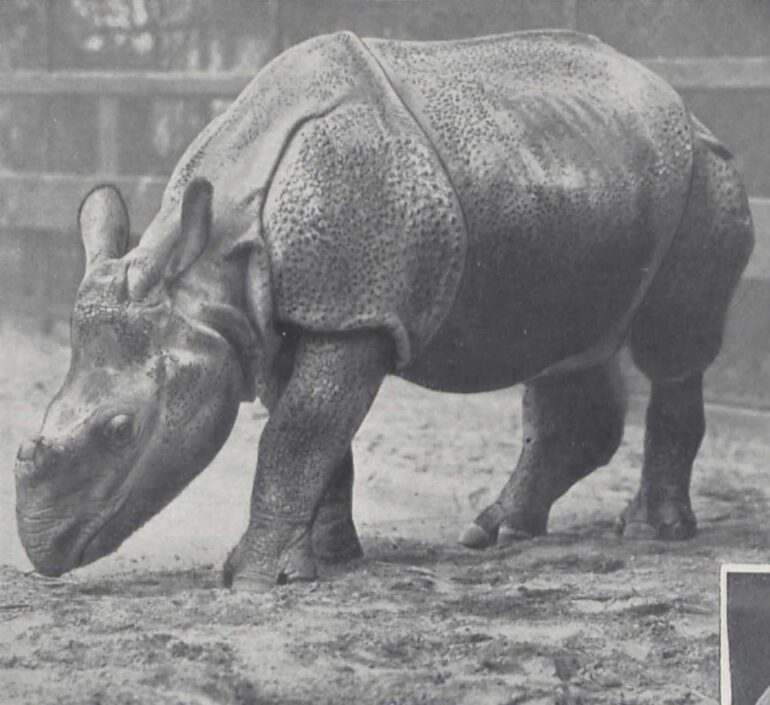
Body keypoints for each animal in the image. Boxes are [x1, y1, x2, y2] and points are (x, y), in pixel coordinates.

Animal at [15, 30, 754, 591]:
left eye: (120, 429)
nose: (44, 549)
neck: (212, 264)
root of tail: (682, 104)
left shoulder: (354, 316)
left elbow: (297, 432)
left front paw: (251, 578)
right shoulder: (293, 316)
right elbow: (316, 434)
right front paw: (326, 561)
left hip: (704, 178)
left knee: (671, 351)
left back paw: (653, 532)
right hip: (574, 179)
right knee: (572, 345)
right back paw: (495, 531)